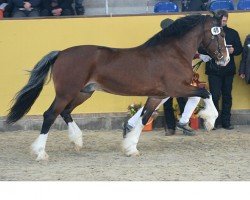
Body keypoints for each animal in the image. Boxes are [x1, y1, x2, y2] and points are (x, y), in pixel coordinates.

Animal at [5, 13, 229, 161]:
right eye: (219, 35)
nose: (225, 59)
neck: (174, 52)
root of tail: (61, 53)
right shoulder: (177, 88)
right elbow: (206, 92)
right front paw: (209, 120)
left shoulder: (158, 95)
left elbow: (144, 118)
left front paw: (130, 147)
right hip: (66, 92)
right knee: (50, 114)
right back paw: (41, 153)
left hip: (83, 92)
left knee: (65, 112)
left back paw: (77, 141)